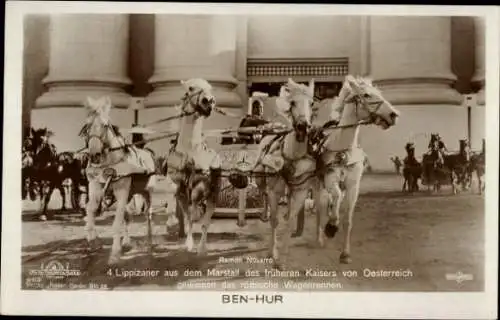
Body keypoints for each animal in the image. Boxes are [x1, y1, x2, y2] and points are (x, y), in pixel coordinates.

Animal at [164, 78, 221, 255]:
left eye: (211, 87)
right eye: (190, 88)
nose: (208, 101)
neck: (190, 150)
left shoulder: (202, 182)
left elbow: (197, 199)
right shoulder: (177, 183)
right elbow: (174, 196)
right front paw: (173, 224)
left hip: (214, 196)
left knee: (205, 221)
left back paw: (202, 248)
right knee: (189, 216)